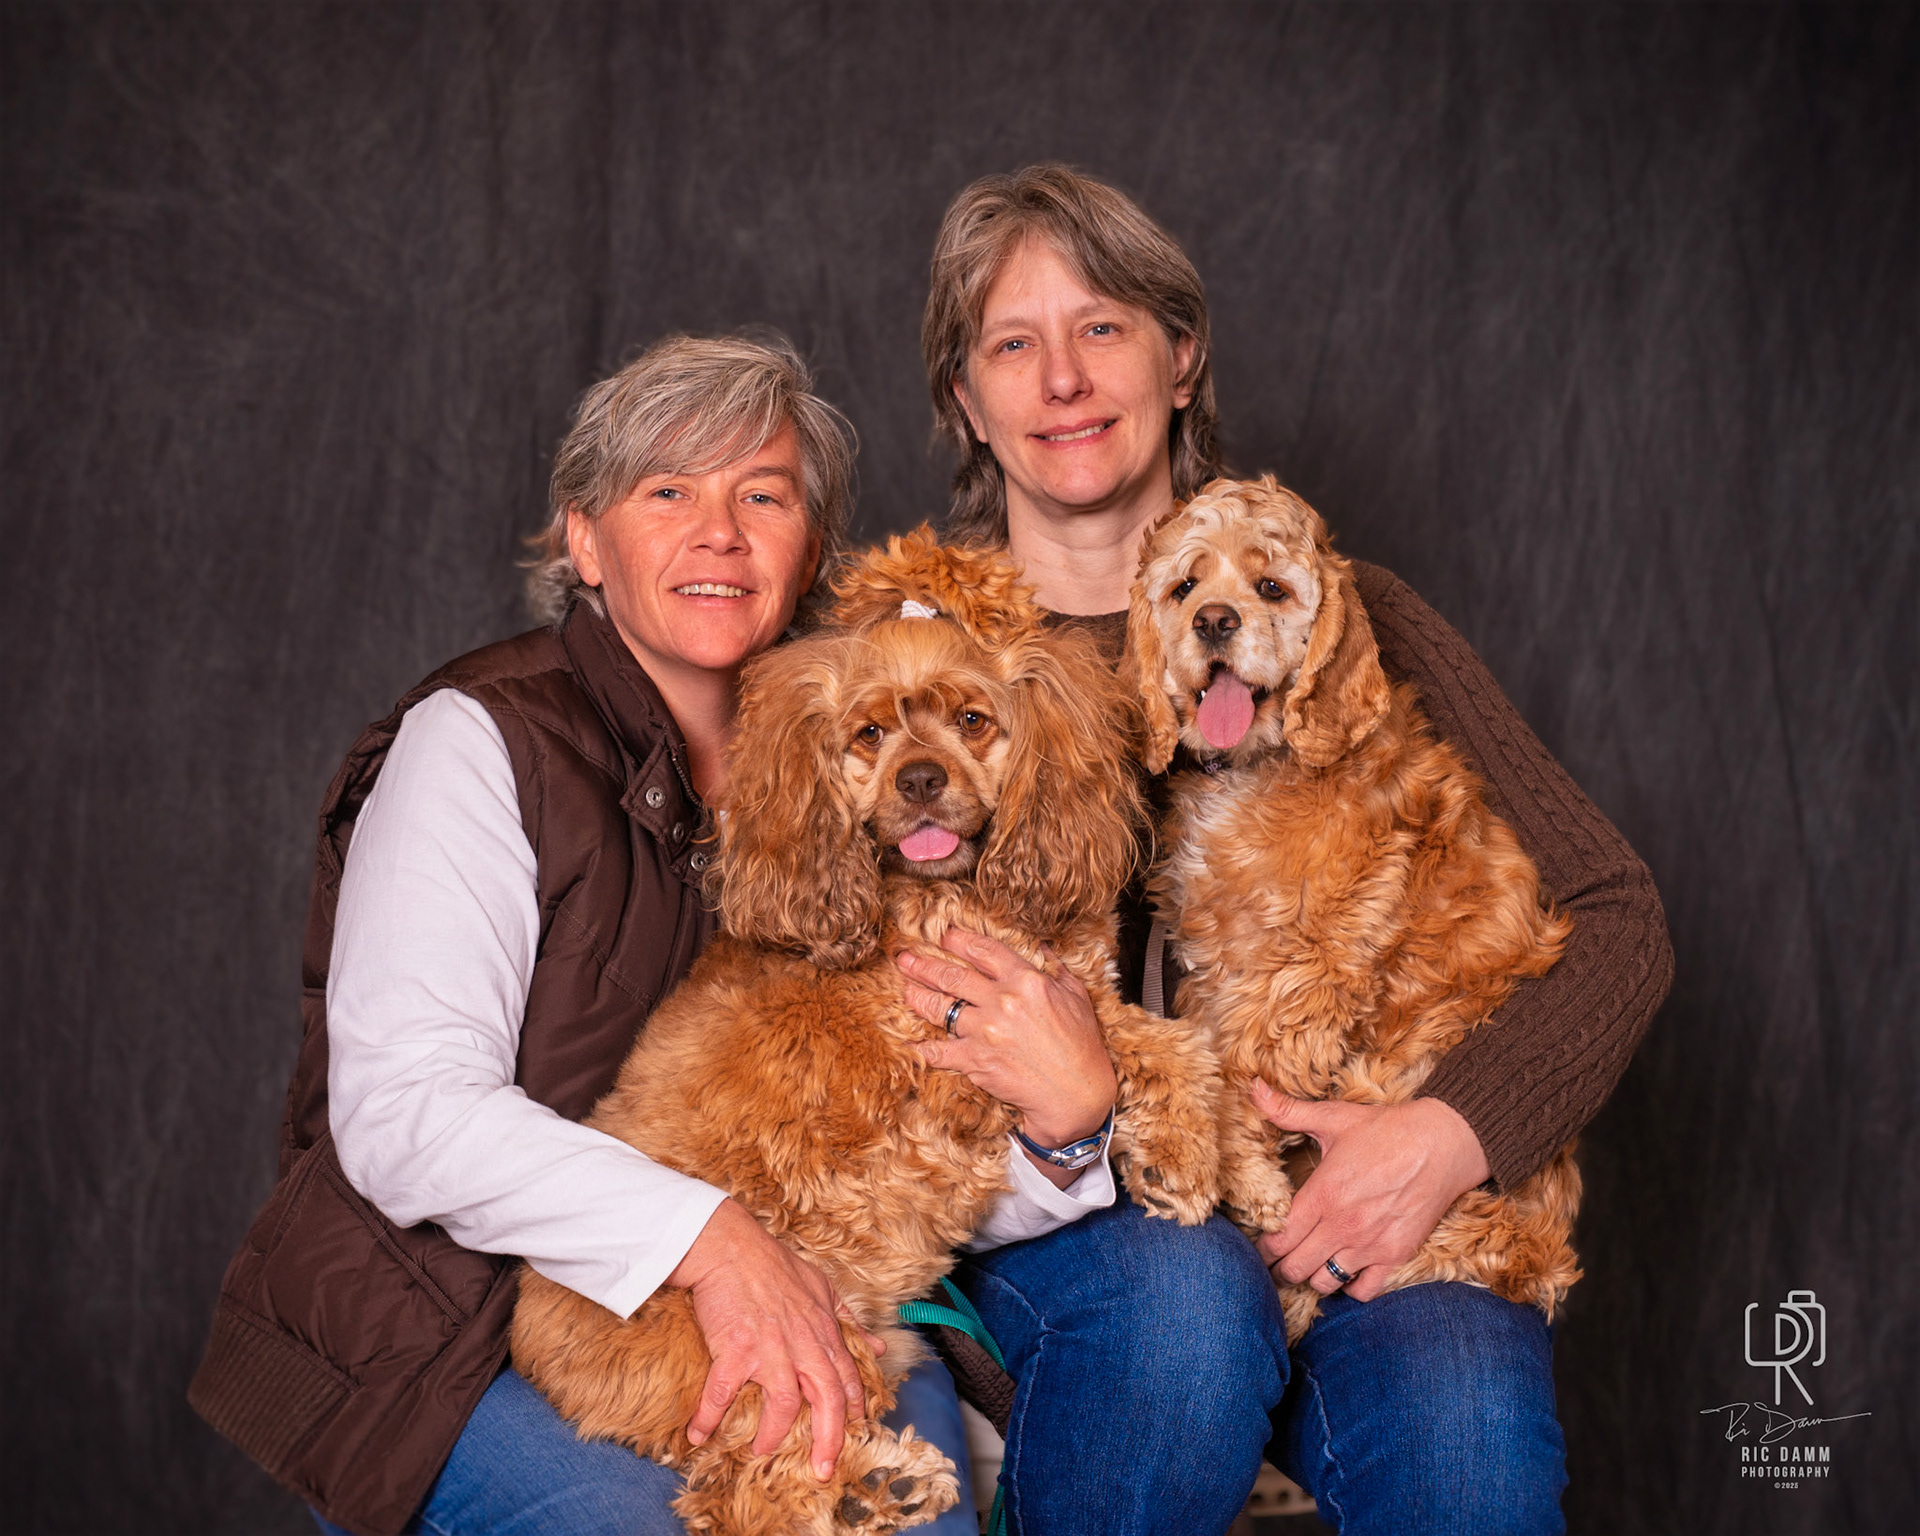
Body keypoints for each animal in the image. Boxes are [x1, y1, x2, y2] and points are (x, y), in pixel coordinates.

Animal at [512, 529, 1220, 1536]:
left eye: (972, 720)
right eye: (870, 735)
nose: (921, 781)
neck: (938, 894)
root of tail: (535, 1348)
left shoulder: (1054, 1002)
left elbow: (1159, 1042)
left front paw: (1208, 1158)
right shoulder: (960, 1050)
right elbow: (1144, 1044)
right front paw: (1194, 1154)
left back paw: (871, 1485)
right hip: (780, 1346)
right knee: (741, 1494)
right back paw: (865, 1486)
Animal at [1123, 477, 1581, 1343]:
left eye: (1271, 587)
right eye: (1186, 586)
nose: (1214, 621)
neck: (1256, 767)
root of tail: (1538, 1258)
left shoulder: (1306, 972)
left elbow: (1242, 1069)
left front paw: (1247, 1176)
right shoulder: (1215, 966)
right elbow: (1201, 1053)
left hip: (1392, 1087)